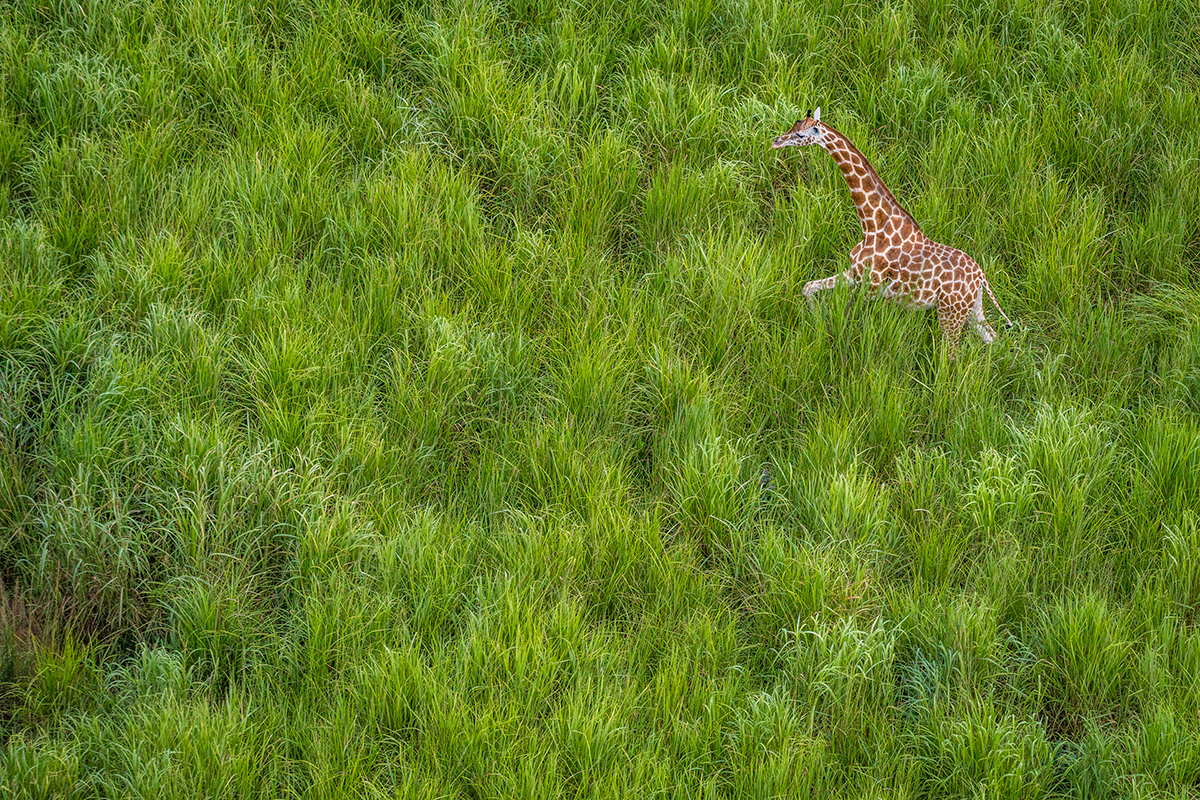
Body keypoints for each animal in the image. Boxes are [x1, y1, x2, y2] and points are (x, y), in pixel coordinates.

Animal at [772, 107, 1013, 356]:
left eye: (800, 134)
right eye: (793, 126)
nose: (776, 141)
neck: (871, 224)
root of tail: (981, 277)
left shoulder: (869, 287)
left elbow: (846, 321)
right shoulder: (855, 275)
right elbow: (808, 287)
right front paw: (814, 317)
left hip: (950, 312)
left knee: (952, 354)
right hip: (972, 308)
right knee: (993, 338)